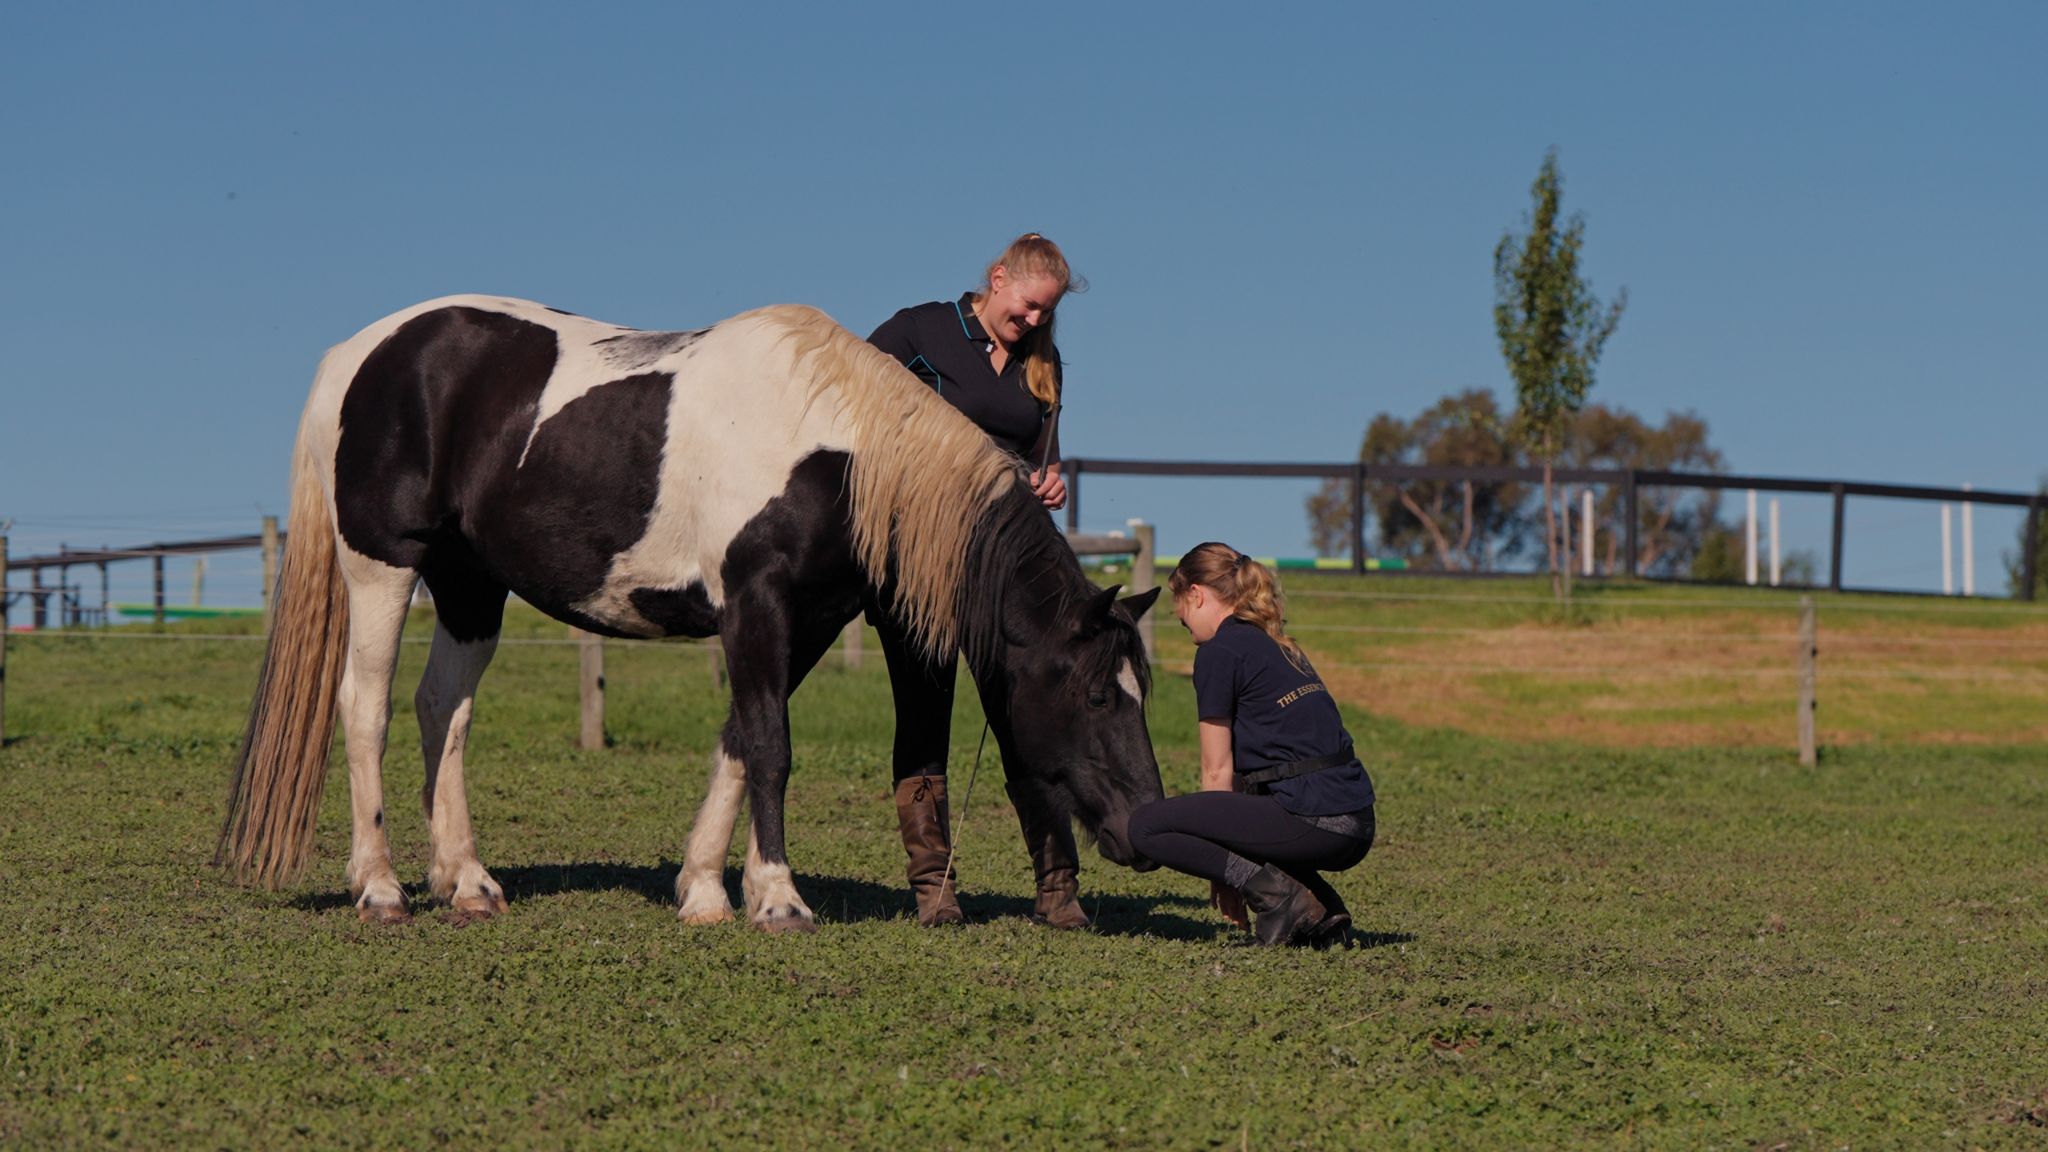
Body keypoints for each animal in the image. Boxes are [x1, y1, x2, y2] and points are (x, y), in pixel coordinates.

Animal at [215, 296, 1163, 932]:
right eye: (1096, 695)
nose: (1143, 830)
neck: (838, 448)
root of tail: (361, 353)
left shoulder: (808, 619)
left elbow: (742, 740)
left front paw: (706, 890)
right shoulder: (757, 603)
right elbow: (771, 745)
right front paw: (777, 899)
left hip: (470, 585)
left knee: (442, 710)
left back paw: (467, 881)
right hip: (384, 567)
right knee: (366, 708)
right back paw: (379, 888)